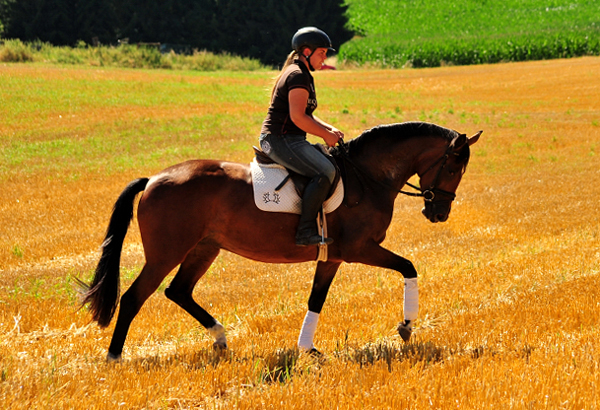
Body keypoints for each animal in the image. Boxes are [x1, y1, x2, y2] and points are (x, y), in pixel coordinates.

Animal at [81, 121, 482, 358]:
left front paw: (308, 349)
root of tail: (152, 179)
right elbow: (409, 267)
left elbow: (316, 299)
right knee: (134, 297)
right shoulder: (360, 249)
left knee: (178, 291)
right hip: (166, 253)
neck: (368, 177)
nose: (439, 212)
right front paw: (406, 326)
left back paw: (221, 339)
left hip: (204, 248)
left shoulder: (332, 257)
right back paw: (114, 358)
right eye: (453, 167)